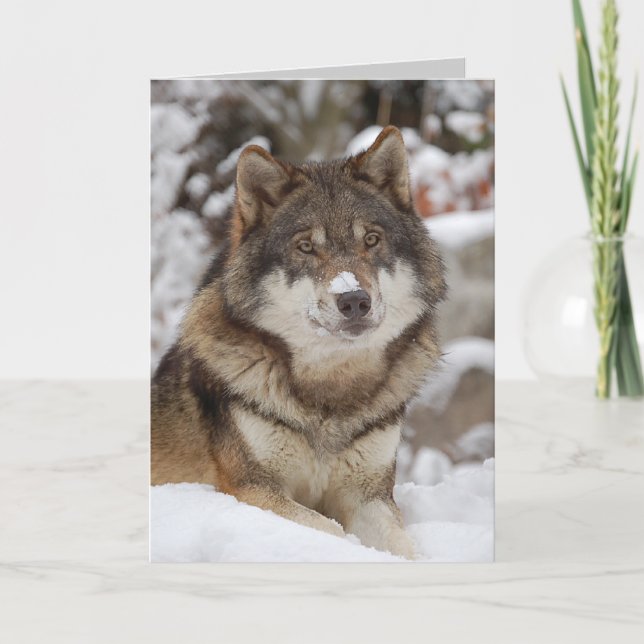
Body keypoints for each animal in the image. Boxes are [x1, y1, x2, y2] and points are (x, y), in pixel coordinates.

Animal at [151, 126, 446, 559]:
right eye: (306, 246)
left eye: (371, 240)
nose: (354, 300)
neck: (330, 393)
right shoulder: (251, 490)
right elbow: (330, 531)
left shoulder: (369, 496)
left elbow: (404, 547)